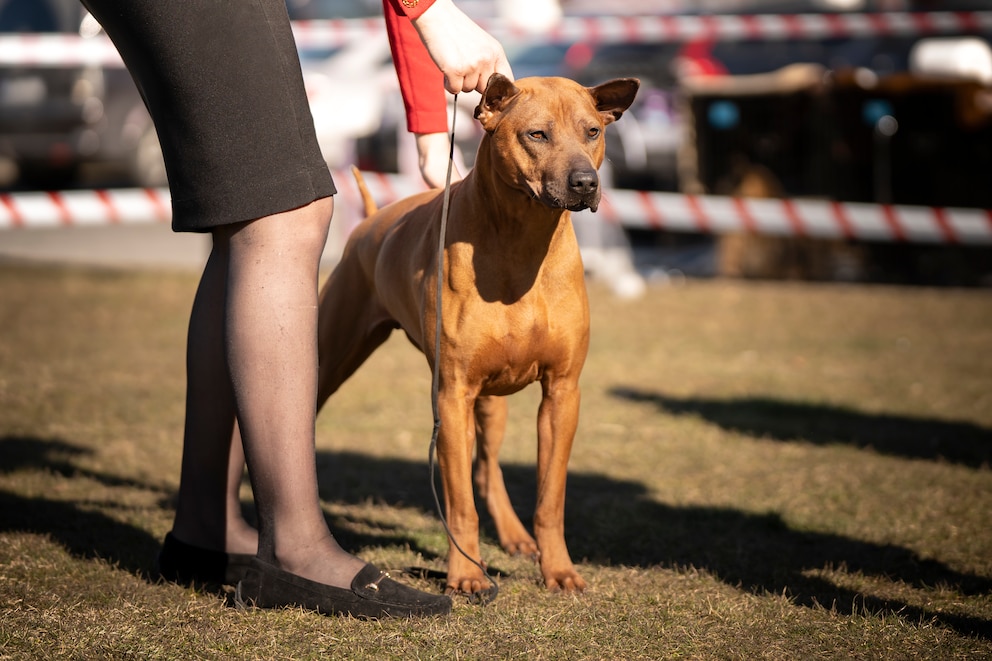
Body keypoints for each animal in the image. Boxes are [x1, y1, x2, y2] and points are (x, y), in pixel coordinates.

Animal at [320, 72, 644, 592]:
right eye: (537, 134)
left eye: (592, 132)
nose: (585, 183)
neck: (523, 241)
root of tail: (370, 220)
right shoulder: (452, 395)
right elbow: (459, 506)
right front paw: (467, 575)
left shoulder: (562, 392)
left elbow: (550, 499)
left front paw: (558, 569)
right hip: (331, 358)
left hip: (492, 401)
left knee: (488, 467)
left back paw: (513, 536)